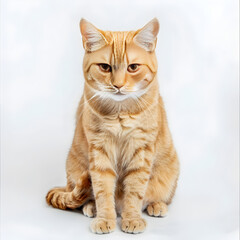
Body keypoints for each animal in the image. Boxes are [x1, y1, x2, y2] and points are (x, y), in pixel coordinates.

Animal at [46, 17, 179, 233]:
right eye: (105, 67)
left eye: (133, 67)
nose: (118, 85)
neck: (120, 112)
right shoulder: (100, 150)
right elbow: (103, 190)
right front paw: (104, 218)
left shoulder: (141, 149)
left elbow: (135, 191)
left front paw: (132, 218)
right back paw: (91, 206)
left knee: (160, 197)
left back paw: (156, 205)